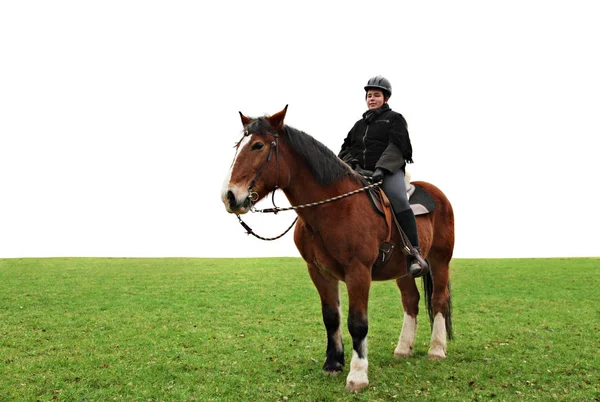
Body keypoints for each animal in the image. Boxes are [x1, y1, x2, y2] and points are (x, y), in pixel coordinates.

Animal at [221, 105, 454, 392]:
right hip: (404, 271)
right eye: (237, 145)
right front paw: (332, 364)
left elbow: (358, 323)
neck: (334, 208)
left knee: (439, 299)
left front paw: (357, 375)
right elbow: (331, 317)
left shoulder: (358, 272)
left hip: (440, 261)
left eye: (258, 145)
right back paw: (403, 349)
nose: (230, 196)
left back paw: (437, 349)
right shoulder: (319, 271)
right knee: (411, 301)